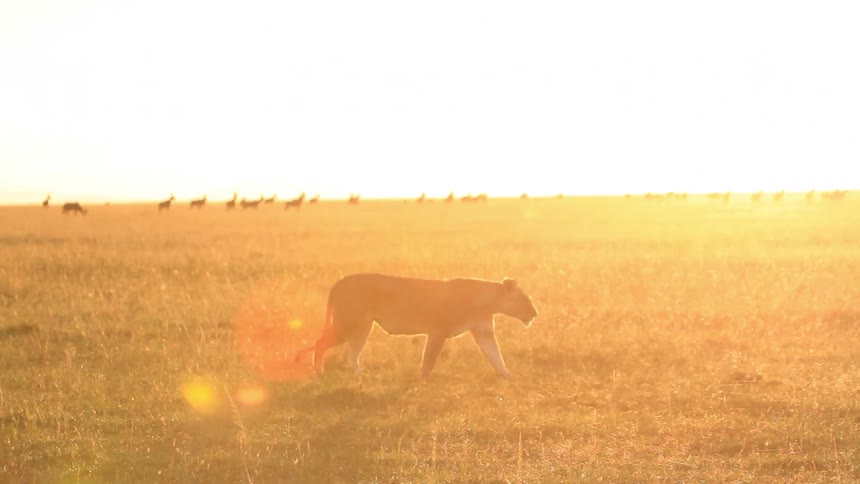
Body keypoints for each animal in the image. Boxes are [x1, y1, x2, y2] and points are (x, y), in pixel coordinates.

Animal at [294, 273, 538, 379]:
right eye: (525, 299)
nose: (535, 314)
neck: (486, 301)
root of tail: (340, 281)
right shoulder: (438, 331)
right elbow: (429, 358)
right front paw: (423, 380)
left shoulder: (484, 332)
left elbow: (495, 355)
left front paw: (508, 376)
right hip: (348, 324)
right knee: (320, 342)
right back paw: (319, 371)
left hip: (363, 327)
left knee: (352, 353)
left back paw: (361, 374)